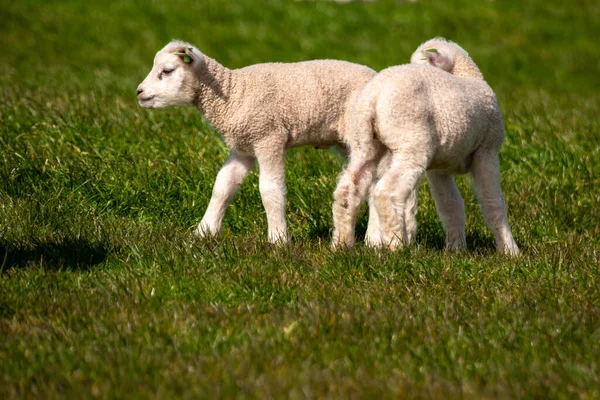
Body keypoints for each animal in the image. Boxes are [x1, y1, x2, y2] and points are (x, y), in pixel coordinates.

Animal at [138, 42, 378, 245]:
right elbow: (223, 185)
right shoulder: (244, 145)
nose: (139, 92)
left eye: (167, 71)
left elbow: (270, 190)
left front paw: (278, 240)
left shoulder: (268, 137)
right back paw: (374, 240)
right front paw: (203, 232)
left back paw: (374, 240)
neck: (233, 94)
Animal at [332, 38, 520, 256]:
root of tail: (373, 98)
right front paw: (510, 250)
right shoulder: (487, 151)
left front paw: (456, 249)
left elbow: (450, 205)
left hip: (365, 143)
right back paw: (396, 245)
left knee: (348, 190)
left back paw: (342, 244)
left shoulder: (440, 167)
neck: (466, 74)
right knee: (387, 192)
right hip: (412, 142)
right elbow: (493, 204)